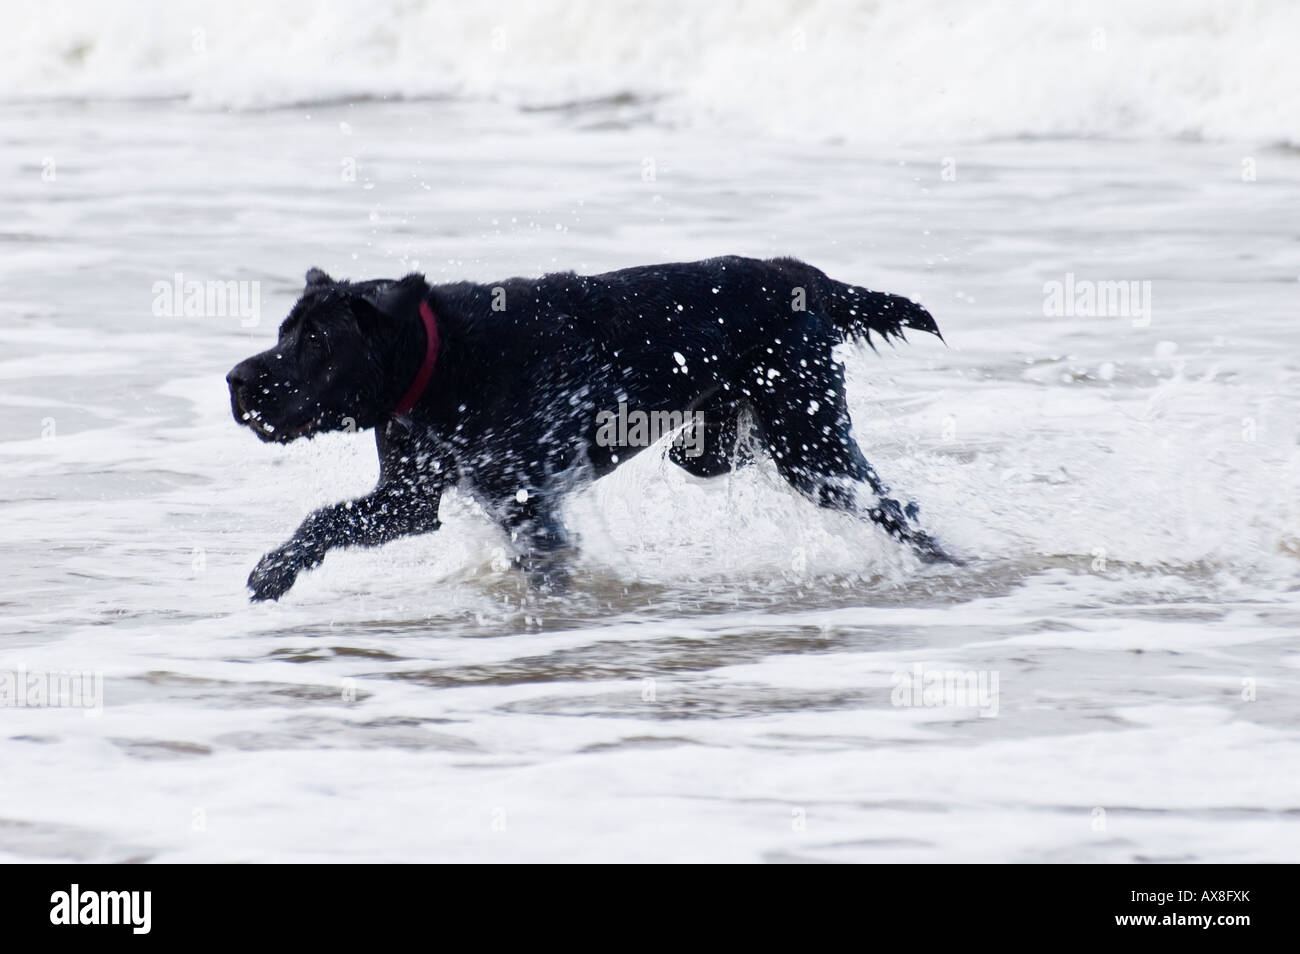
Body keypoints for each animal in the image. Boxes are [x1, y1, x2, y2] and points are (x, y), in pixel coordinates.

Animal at [226, 257, 956, 600]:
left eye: (316, 340)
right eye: (284, 331)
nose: (236, 380)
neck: (438, 360)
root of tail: (804, 275)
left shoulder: (526, 506)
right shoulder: (406, 499)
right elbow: (328, 519)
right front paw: (278, 568)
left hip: (810, 444)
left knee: (895, 507)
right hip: (715, 446)